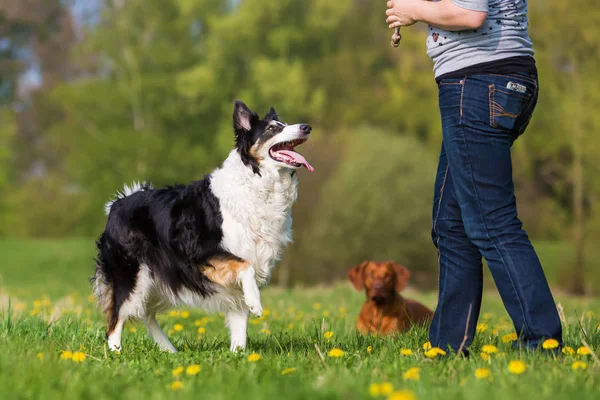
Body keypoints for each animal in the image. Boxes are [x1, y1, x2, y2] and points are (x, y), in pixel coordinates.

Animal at [94, 101, 314, 354]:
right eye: (272, 129)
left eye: (284, 124)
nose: (307, 127)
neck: (257, 181)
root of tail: (117, 204)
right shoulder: (201, 253)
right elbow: (245, 266)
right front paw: (256, 304)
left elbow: (240, 325)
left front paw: (239, 356)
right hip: (130, 276)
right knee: (116, 321)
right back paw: (116, 354)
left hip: (158, 281)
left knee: (146, 314)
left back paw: (169, 351)